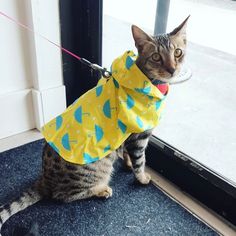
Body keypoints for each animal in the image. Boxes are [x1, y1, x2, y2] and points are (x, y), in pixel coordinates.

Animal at [0, 16, 188, 234]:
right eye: (156, 57)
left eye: (178, 52)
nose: (172, 69)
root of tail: (45, 178)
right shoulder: (139, 135)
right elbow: (141, 160)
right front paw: (141, 178)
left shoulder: (127, 137)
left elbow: (127, 154)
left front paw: (128, 164)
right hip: (97, 167)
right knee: (63, 196)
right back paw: (101, 190)